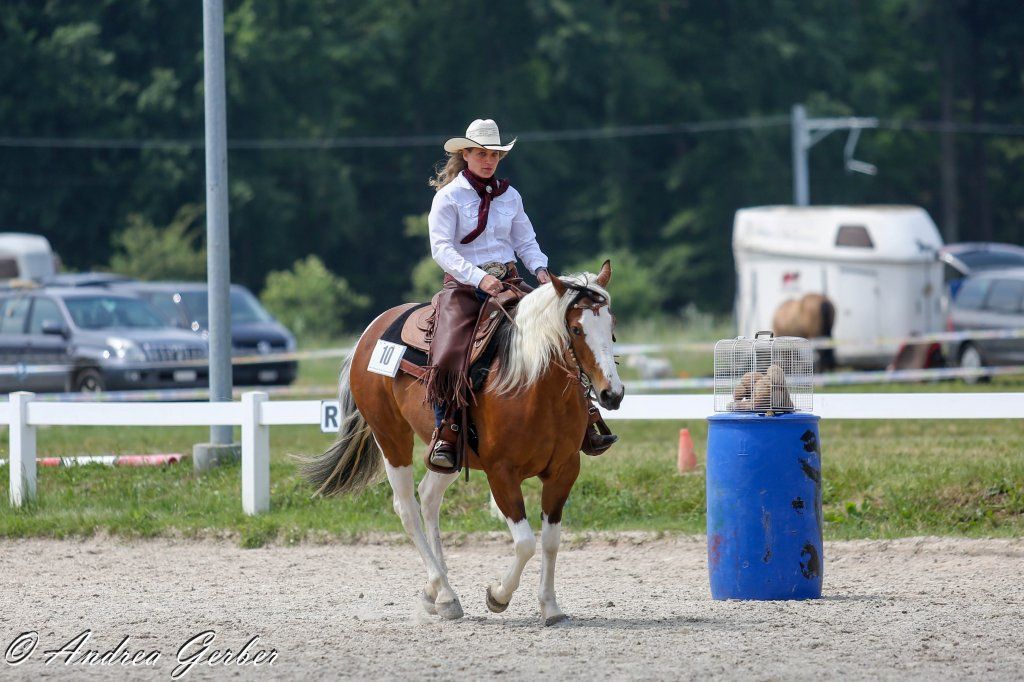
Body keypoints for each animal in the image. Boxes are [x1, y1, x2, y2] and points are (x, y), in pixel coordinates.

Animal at [303, 260, 624, 625]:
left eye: (611, 323)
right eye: (576, 329)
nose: (612, 394)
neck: (532, 384)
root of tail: (370, 331)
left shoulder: (564, 470)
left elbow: (551, 541)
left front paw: (551, 607)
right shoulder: (502, 473)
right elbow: (525, 542)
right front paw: (497, 596)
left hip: (451, 455)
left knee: (429, 498)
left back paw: (438, 593)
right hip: (391, 438)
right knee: (407, 508)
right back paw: (443, 590)